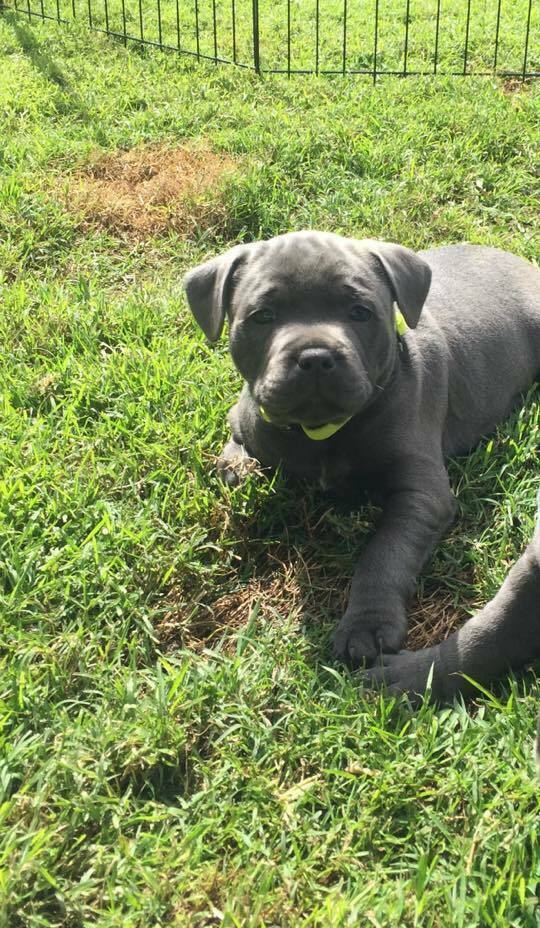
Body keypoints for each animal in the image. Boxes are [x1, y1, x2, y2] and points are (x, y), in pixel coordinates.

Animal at [184, 231, 540, 668]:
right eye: (263, 316)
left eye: (360, 312)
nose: (315, 357)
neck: (320, 432)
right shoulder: (246, 415)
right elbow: (235, 455)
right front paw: (238, 468)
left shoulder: (420, 494)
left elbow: (385, 554)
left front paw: (366, 625)